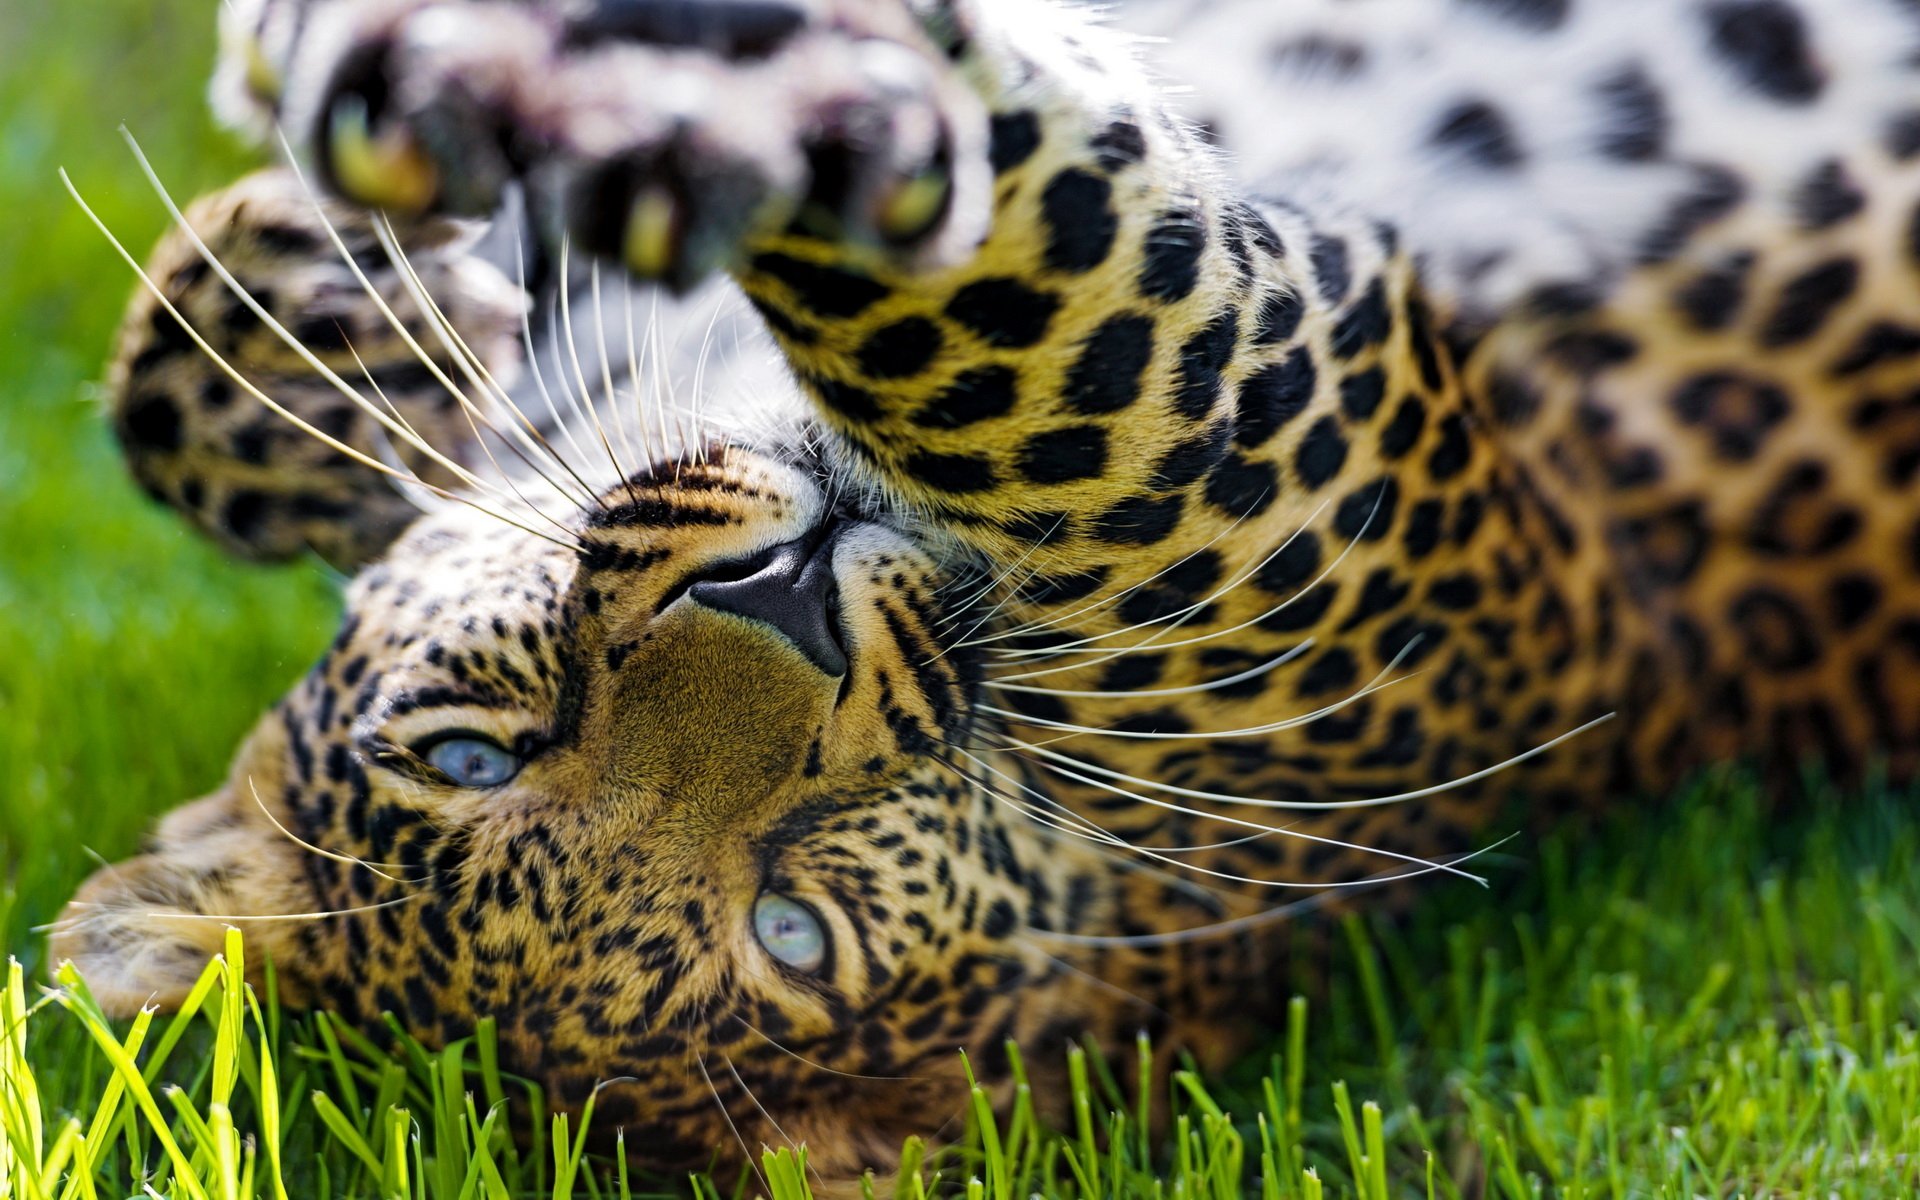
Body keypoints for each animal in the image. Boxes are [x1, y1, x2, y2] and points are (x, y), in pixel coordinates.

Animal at [51, 0, 1920, 1182]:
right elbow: (983, 307)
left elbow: (171, 386)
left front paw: (325, 287)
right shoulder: (1256, 453)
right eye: (794, 930)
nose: (784, 599)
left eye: (470, 753)